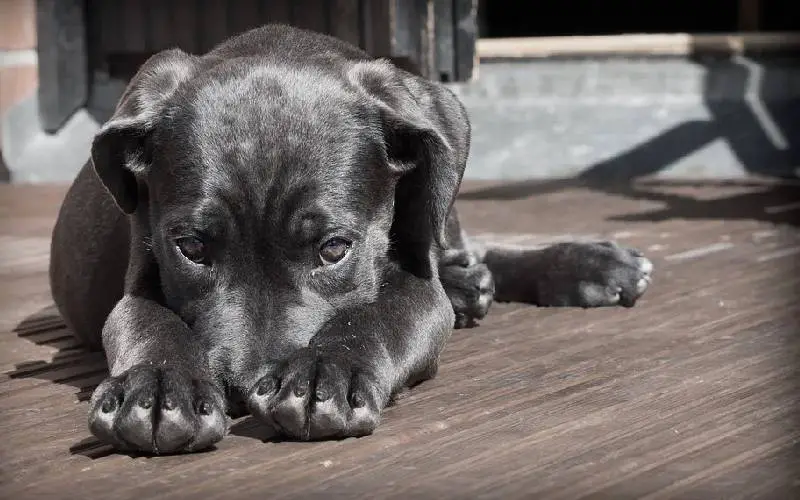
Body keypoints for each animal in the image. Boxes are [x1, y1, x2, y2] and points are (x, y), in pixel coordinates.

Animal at [48, 24, 648, 454]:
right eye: (191, 249)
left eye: (334, 248)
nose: (242, 389)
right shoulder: (139, 277)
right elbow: (148, 323)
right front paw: (157, 387)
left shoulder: (417, 287)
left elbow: (380, 314)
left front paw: (323, 372)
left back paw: (585, 265)